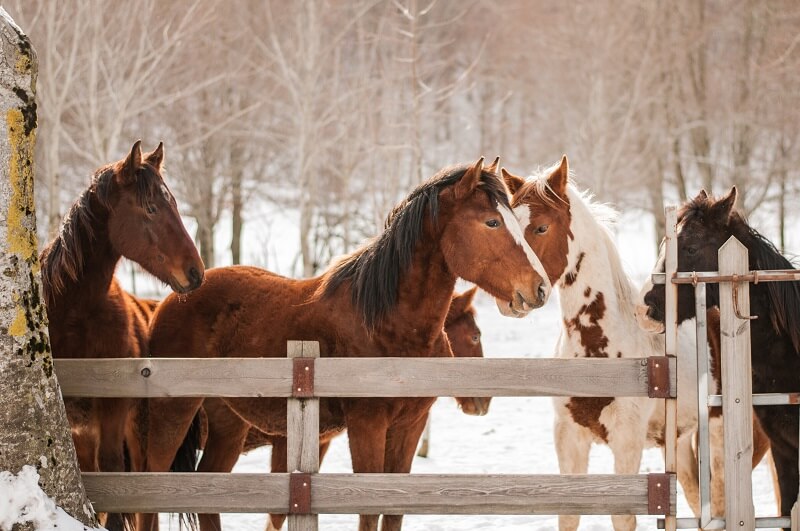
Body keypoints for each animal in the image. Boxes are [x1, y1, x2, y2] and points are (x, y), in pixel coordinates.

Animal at [41, 141, 205, 531]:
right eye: (151, 208)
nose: (196, 272)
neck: (73, 315)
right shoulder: (78, 428)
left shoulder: (113, 412)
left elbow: (115, 479)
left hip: (147, 438)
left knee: (147, 503)